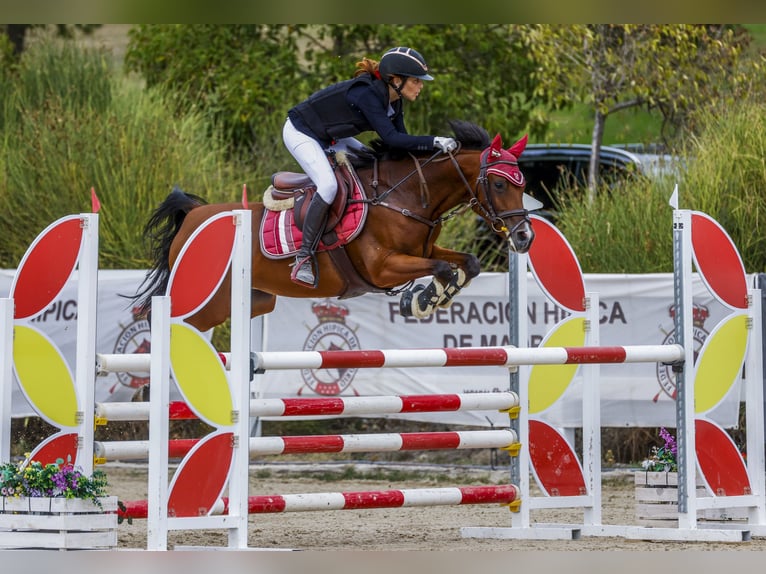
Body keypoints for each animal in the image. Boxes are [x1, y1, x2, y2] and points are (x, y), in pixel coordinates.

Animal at [132, 121, 540, 332]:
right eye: (499, 185)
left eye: (523, 184)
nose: (524, 237)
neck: (406, 196)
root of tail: (194, 215)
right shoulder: (382, 267)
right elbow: (441, 268)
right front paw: (421, 300)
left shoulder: (422, 250)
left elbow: (466, 263)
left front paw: (435, 298)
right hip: (205, 301)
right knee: (160, 317)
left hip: (243, 302)